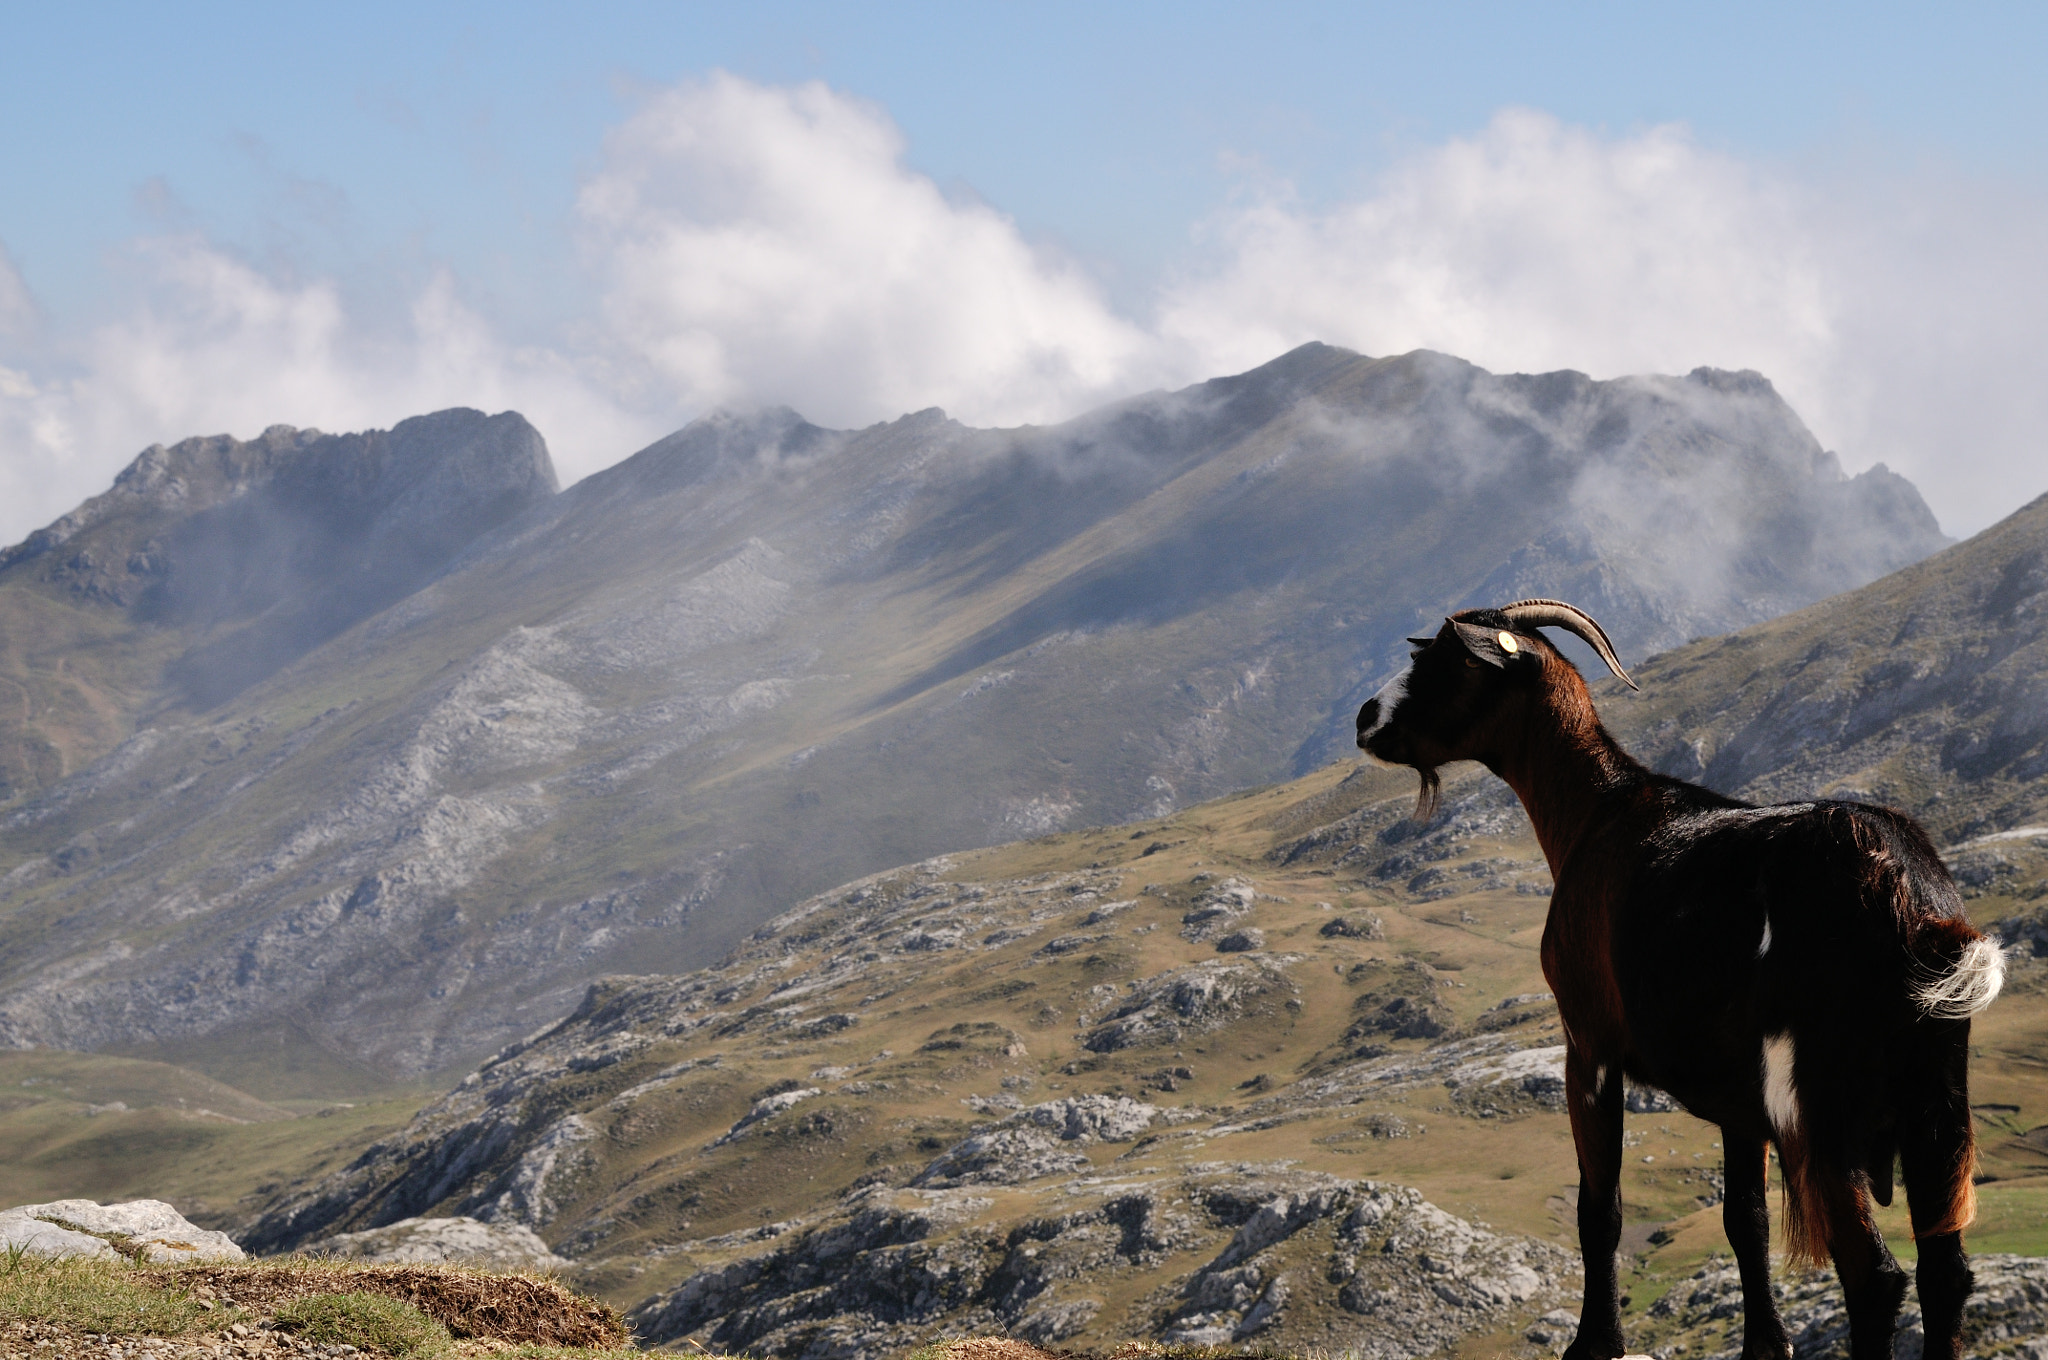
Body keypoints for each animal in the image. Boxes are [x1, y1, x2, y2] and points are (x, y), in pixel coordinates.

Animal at [1355, 599, 2004, 1360]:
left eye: (1444, 659)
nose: (1365, 717)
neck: (1598, 814)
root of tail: (1907, 897)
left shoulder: (1588, 1044)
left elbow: (1599, 1208)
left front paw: (1595, 1342)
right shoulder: (1739, 1105)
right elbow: (1745, 1222)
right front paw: (1765, 1346)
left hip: (1817, 1104)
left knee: (1873, 1277)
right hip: (1939, 1102)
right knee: (1945, 1269)